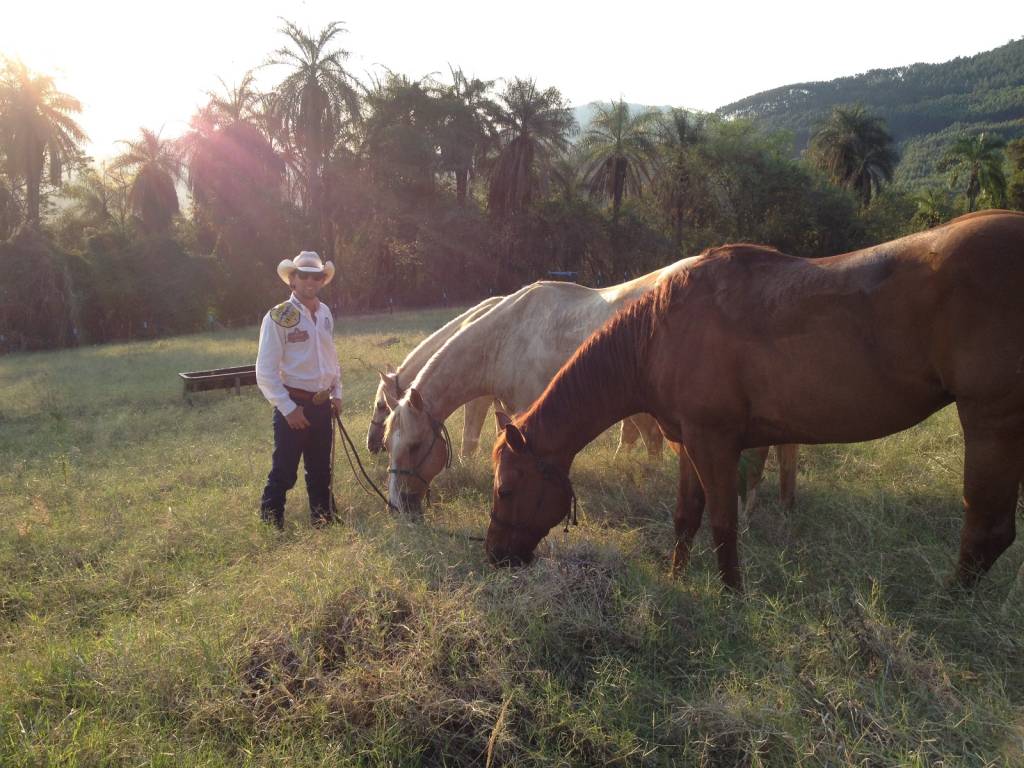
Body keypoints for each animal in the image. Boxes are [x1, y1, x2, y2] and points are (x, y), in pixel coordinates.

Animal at [485, 211, 1024, 593]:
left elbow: (723, 524)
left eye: (505, 490)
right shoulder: (689, 444)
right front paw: (677, 579)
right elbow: (686, 518)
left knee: (986, 529)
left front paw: (731, 597)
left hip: (990, 420)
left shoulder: (714, 444)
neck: (657, 332)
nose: (495, 556)